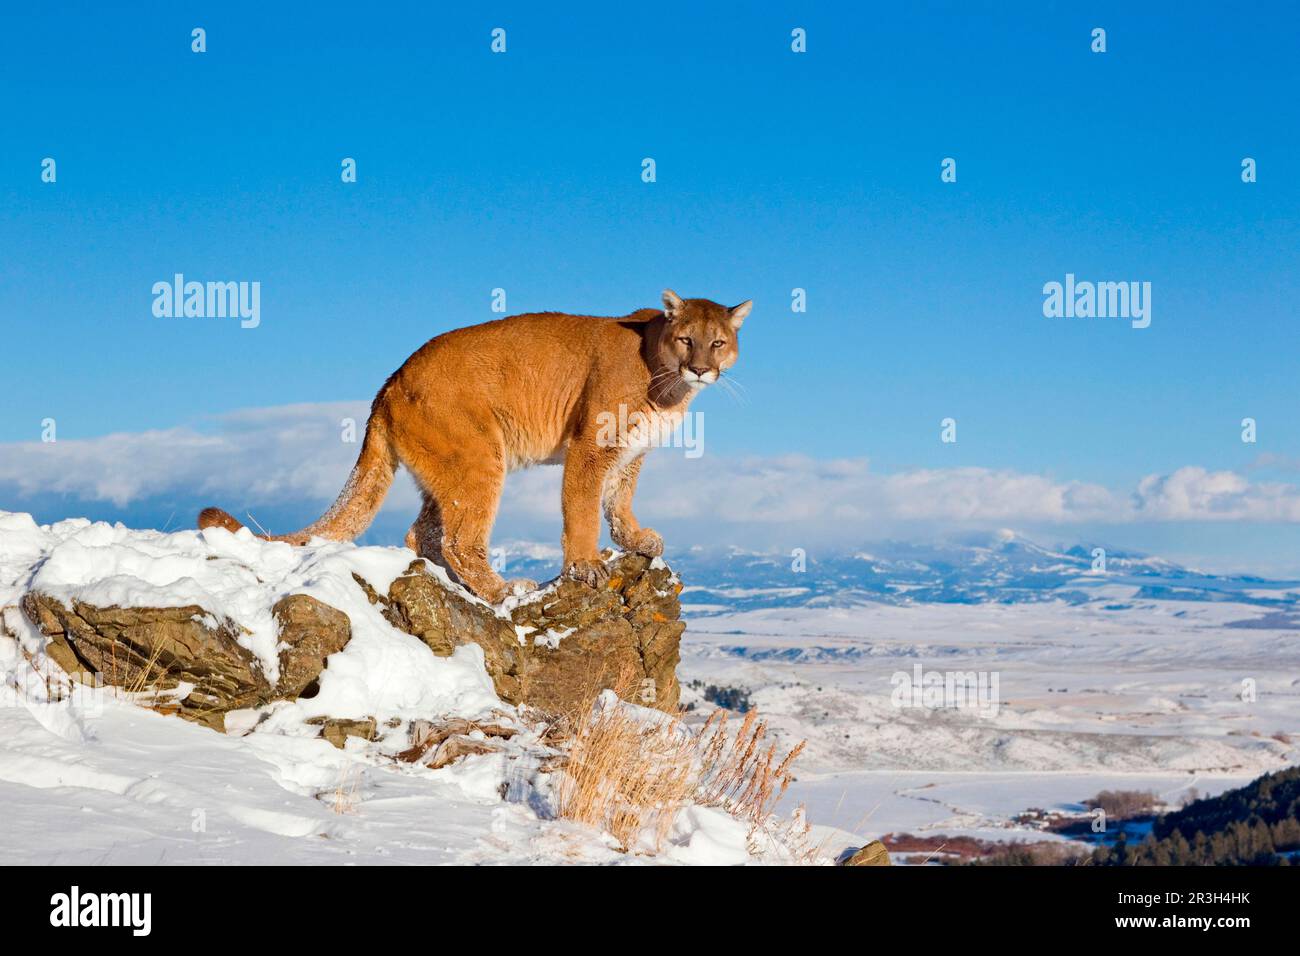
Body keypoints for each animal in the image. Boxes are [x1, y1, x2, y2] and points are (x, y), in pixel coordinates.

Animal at [200, 291, 754, 600]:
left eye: (718, 342)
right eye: (687, 339)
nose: (701, 367)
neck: (666, 380)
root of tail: (390, 382)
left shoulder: (631, 454)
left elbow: (618, 501)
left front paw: (636, 540)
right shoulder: (590, 447)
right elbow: (582, 508)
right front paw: (586, 567)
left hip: (448, 466)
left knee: (423, 533)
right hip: (481, 456)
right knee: (459, 540)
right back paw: (502, 590)